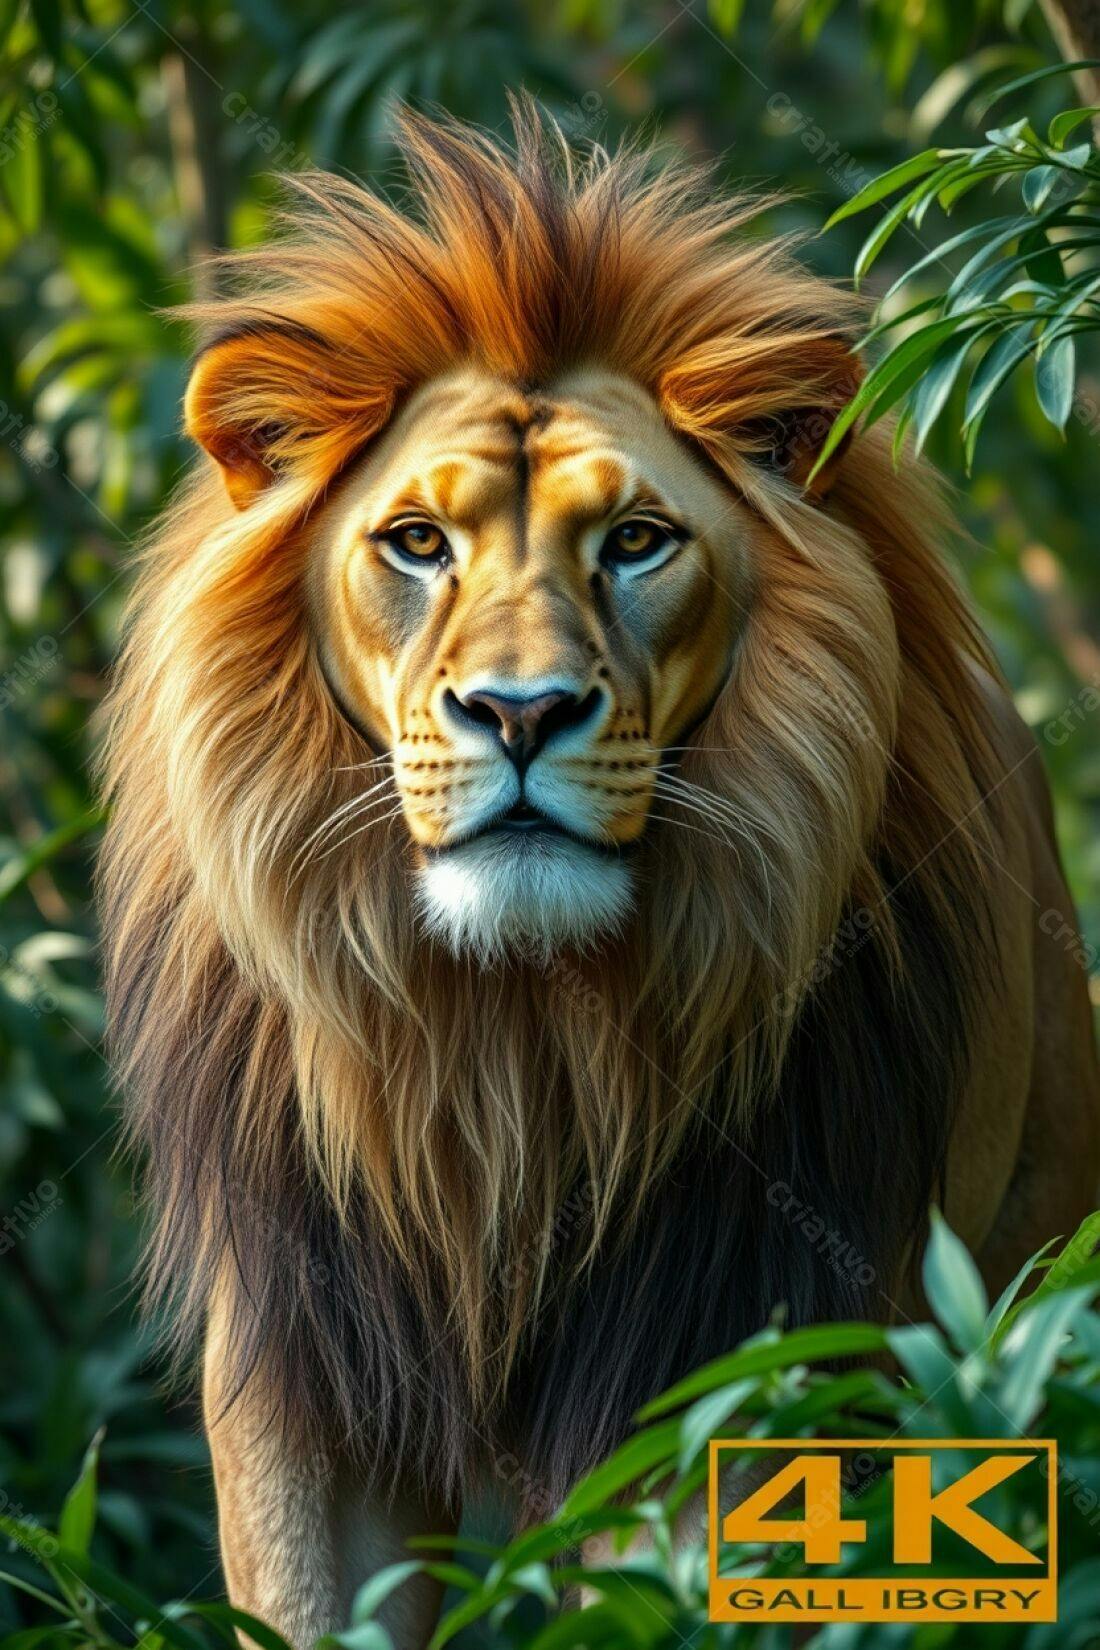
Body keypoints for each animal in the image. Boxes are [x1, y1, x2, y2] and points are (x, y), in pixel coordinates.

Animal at [99, 104, 1100, 1647]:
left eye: (634, 541)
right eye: (417, 543)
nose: (521, 714)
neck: (514, 1044)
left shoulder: (731, 1340)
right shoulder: (301, 1363)